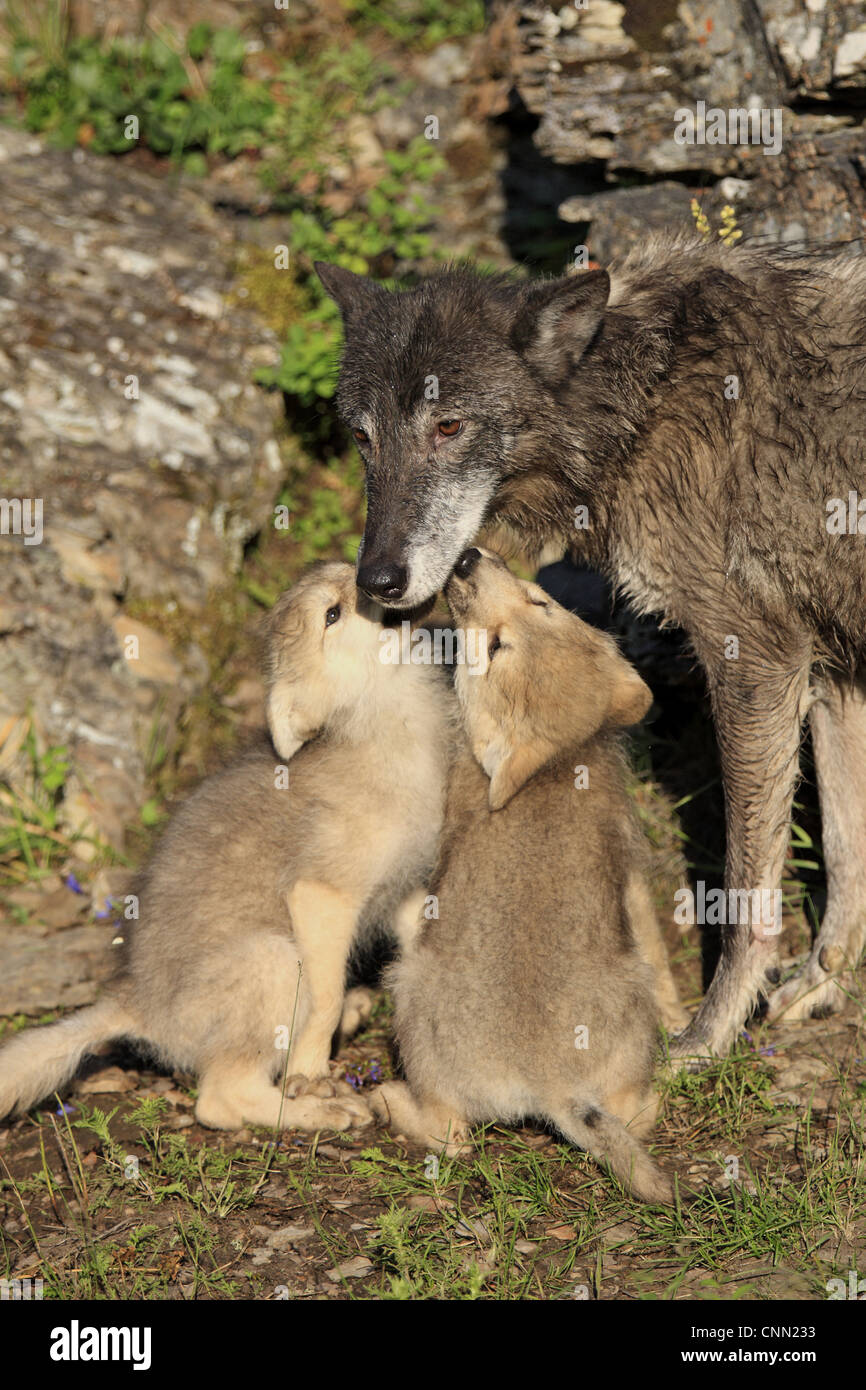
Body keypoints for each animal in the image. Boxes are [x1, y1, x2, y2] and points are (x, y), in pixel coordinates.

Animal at [0, 561, 458, 1128]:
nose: (377, 576)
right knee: (220, 1099)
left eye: (346, 571)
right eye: (332, 614)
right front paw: (312, 1073)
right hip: (273, 958)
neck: (388, 735)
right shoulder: (322, 894)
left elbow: (417, 956)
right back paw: (319, 1112)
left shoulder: (406, 888)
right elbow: (324, 1001)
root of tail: (135, 1003)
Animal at [315, 239, 866, 1056]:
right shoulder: (834, 669)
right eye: (363, 436)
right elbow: (845, 852)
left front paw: (709, 1036)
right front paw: (825, 985)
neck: (647, 402)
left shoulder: (760, 658)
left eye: (448, 426)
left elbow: (746, 890)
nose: (377, 580)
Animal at [375, 547, 681, 1200]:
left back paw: (384, 1100)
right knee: (634, 1114)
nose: (467, 557)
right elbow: (657, 942)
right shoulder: (630, 872)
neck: (561, 763)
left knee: (450, 1137)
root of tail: (552, 1082)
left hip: (409, 998)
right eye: (541, 600)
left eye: (494, 648)